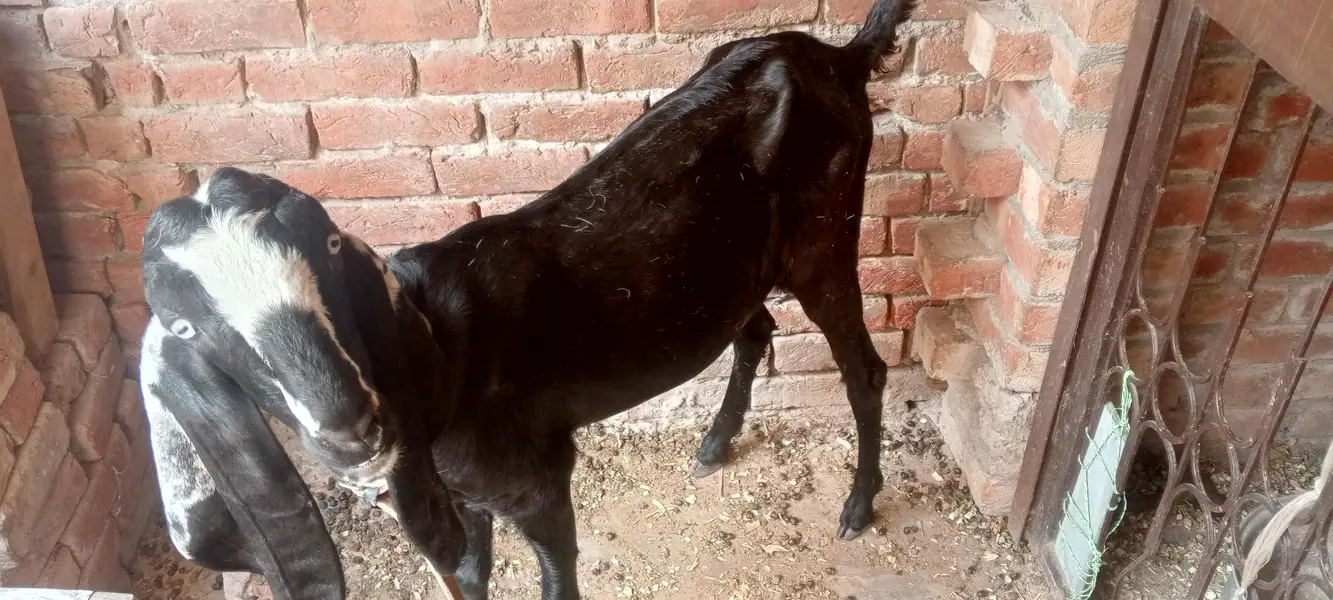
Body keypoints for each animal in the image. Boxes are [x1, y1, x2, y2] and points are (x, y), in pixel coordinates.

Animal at [139, 1, 915, 598]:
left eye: (328, 246)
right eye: (184, 325)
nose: (349, 427)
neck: (441, 359)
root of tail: (840, 57)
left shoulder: (536, 484)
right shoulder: (464, 497)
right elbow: (470, 575)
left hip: (824, 235)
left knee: (864, 369)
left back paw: (857, 504)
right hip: (737, 263)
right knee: (754, 330)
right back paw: (717, 441)